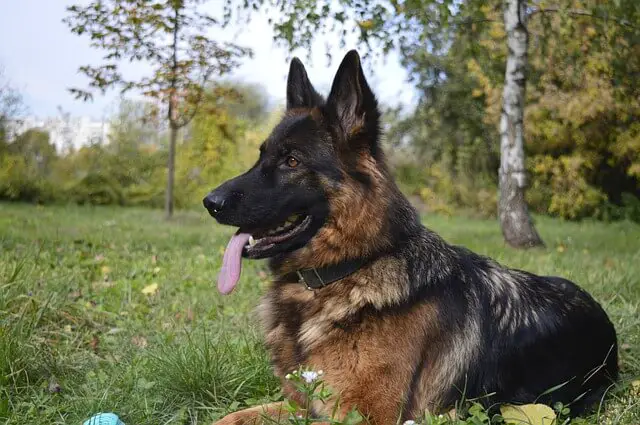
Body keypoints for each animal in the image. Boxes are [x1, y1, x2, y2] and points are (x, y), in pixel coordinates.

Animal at [202, 50, 616, 424]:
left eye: (292, 161)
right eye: (261, 156)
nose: (210, 202)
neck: (350, 269)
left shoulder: (365, 416)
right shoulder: (301, 405)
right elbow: (229, 417)